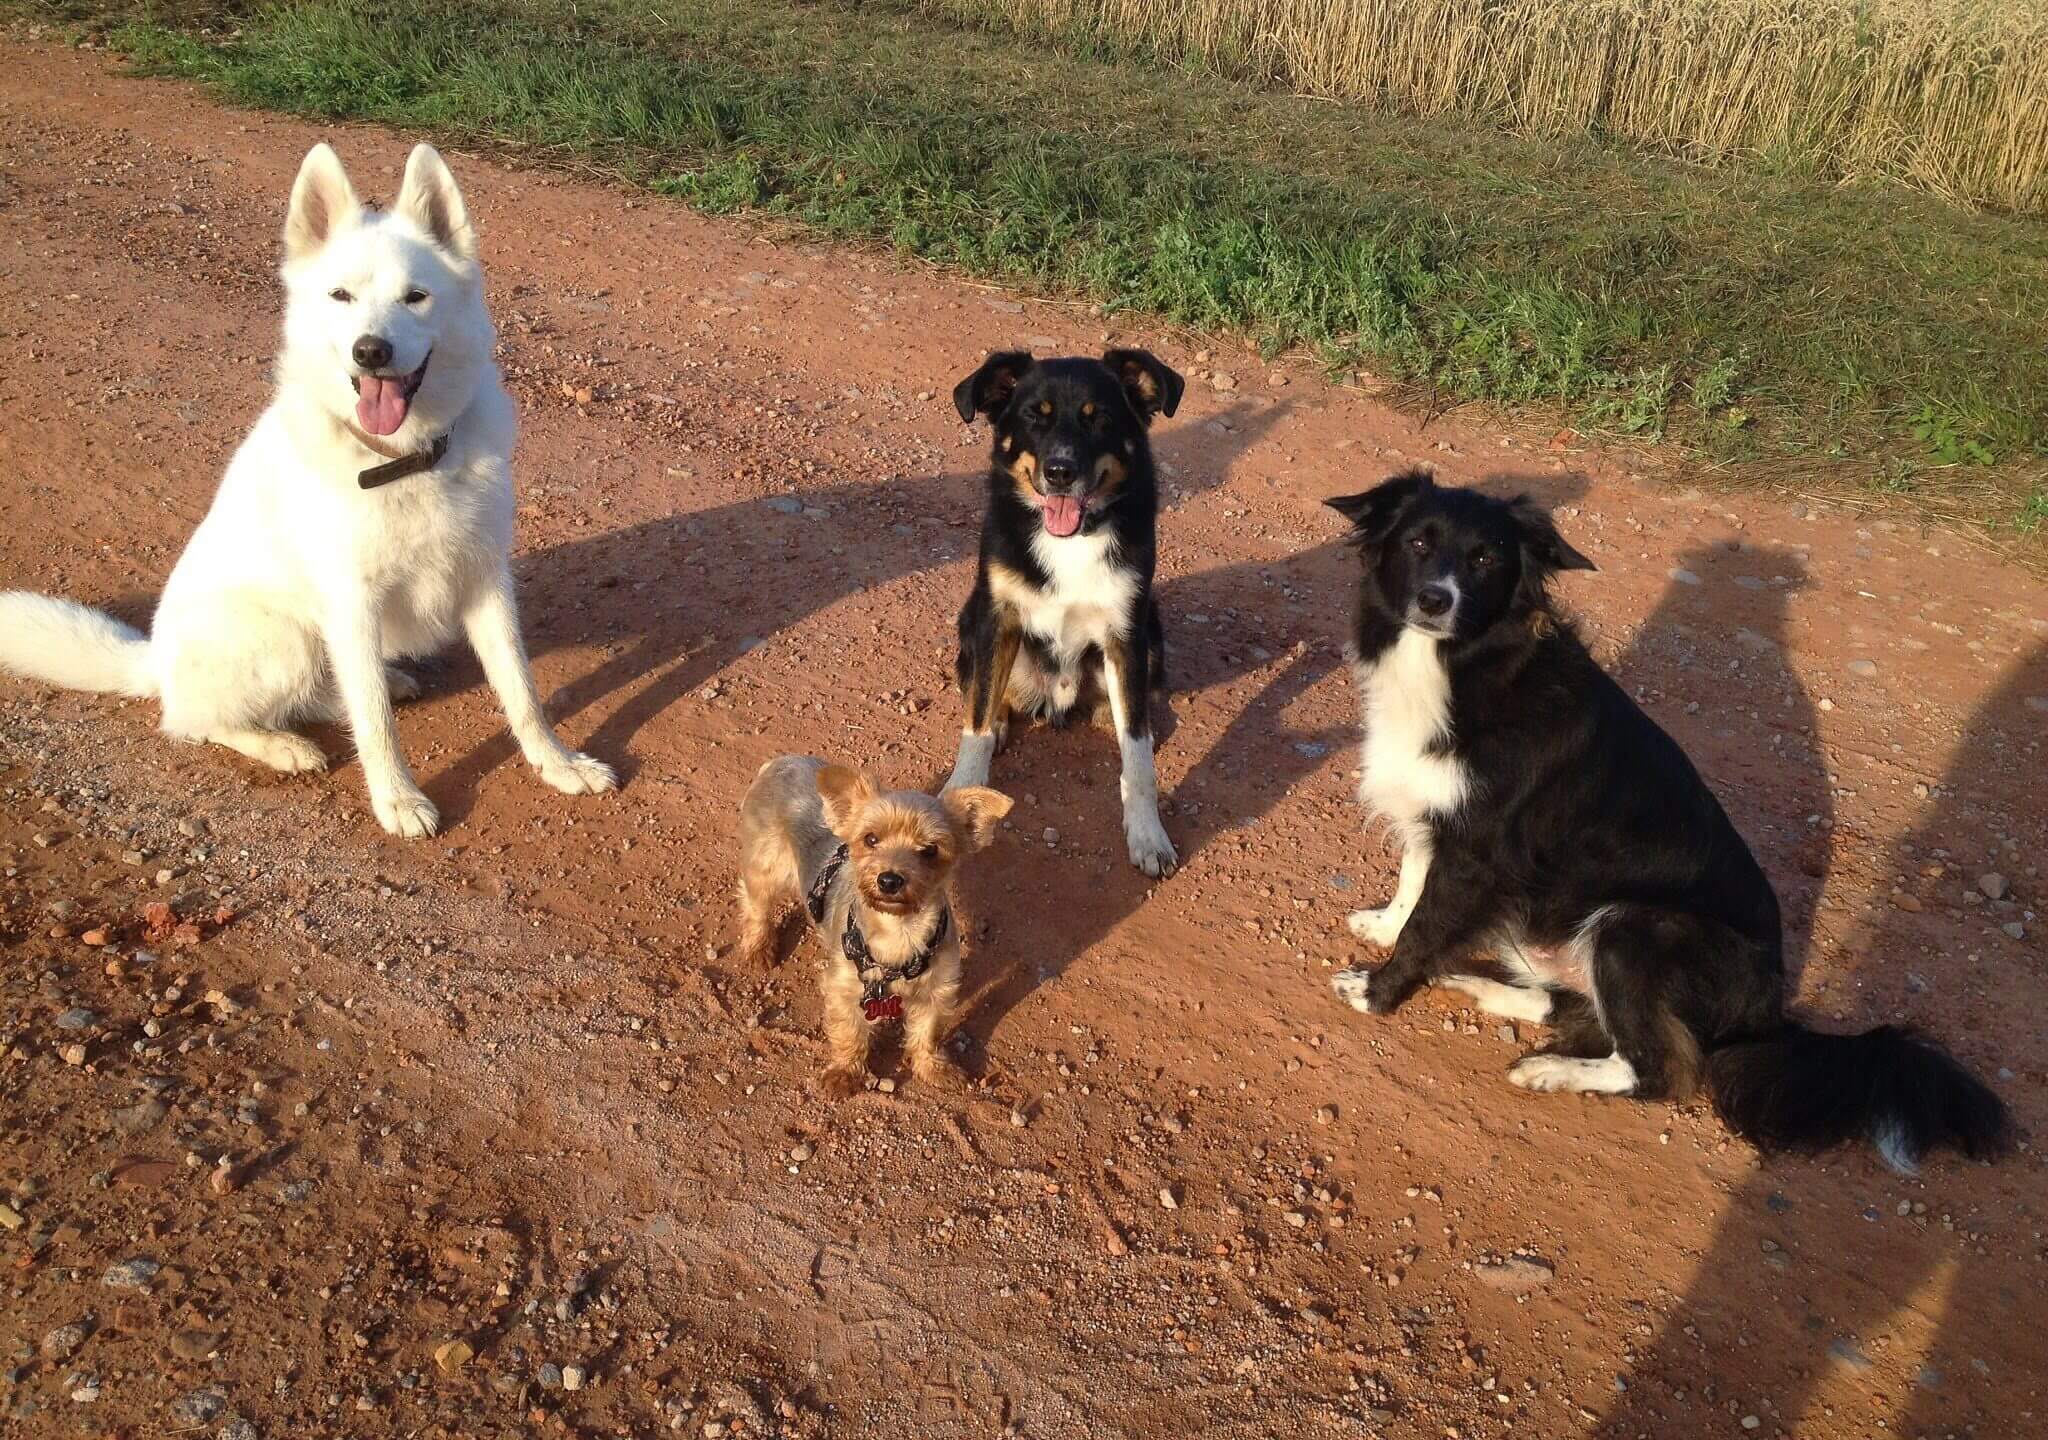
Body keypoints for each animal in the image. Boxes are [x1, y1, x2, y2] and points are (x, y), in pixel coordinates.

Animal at [0, 143, 615, 837]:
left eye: (416, 297)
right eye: (340, 295)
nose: (371, 351)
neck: (404, 461)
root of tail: (152, 659)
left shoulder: (486, 580)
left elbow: (522, 693)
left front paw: (558, 764)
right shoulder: (351, 602)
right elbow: (375, 725)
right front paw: (397, 800)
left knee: (328, 693)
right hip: (287, 638)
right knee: (196, 721)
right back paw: (280, 746)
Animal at [737, 757, 1012, 1097]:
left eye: (930, 850)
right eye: (870, 839)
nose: (890, 879)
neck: (899, 932)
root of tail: (782, 761)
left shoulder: (938, 988)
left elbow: (928, 1031)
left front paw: (933, 1067)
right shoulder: (843, 987)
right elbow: (849, 1033)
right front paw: (844, 1073)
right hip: (765, 866)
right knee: (755, 905)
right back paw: (759, 947)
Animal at [942, 348, 1184, 877]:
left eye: (1101, 419)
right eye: (1035, 416)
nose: (1060, 472)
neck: (1073, 539)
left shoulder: (1127, 632)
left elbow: (1137, 756)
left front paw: (1148, 835)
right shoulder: (997, 617)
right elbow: (975, 722)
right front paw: (962, 788)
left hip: (1154, 636)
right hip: (971, 622)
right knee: (982, 691)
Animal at [1325, 471, 2010, 1171]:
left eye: (1486, 559)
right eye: (1417, 542)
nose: (1436, 600)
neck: (1462, 665)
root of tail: (1768, 1016)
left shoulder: (1479, 851)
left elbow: (1425, 926)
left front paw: (1377, 992)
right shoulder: (1436, 816)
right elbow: (1413, 882)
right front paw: (1383, 928)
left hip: (1635, 926)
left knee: (1659, 1068)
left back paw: (1552, 1069)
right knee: (1573, 1008)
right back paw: (1475, 984)